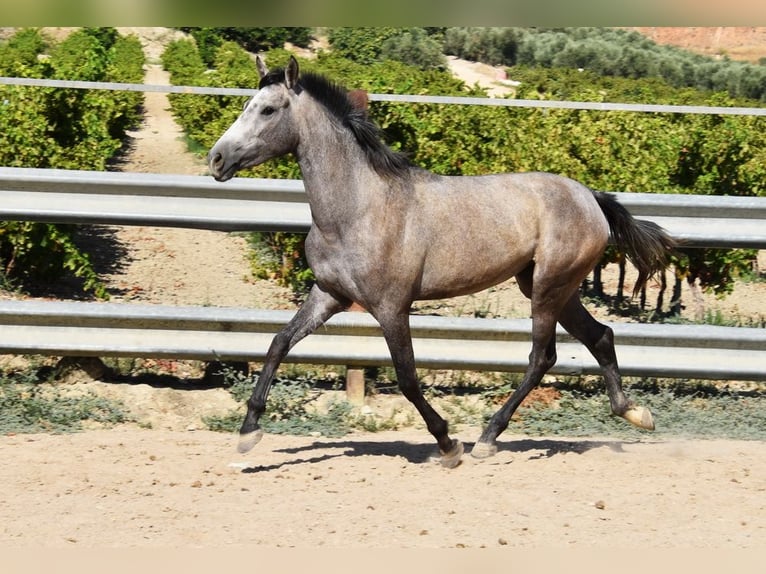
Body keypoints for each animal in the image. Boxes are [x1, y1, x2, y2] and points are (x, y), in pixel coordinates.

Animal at [207, 55, 676, 468]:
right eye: (246, 105)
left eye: (268, 109)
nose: (216, 159)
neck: (358, 209)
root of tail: (590, 197)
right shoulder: (328, 295)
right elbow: (278, 343)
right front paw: (248, 433)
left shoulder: (391, 307)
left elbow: (407, 377)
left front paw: (449, 446)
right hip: (552, 287)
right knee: (601, 336)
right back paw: (635, 413)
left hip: (548, 288)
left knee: (542, 358)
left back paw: (487, 439)